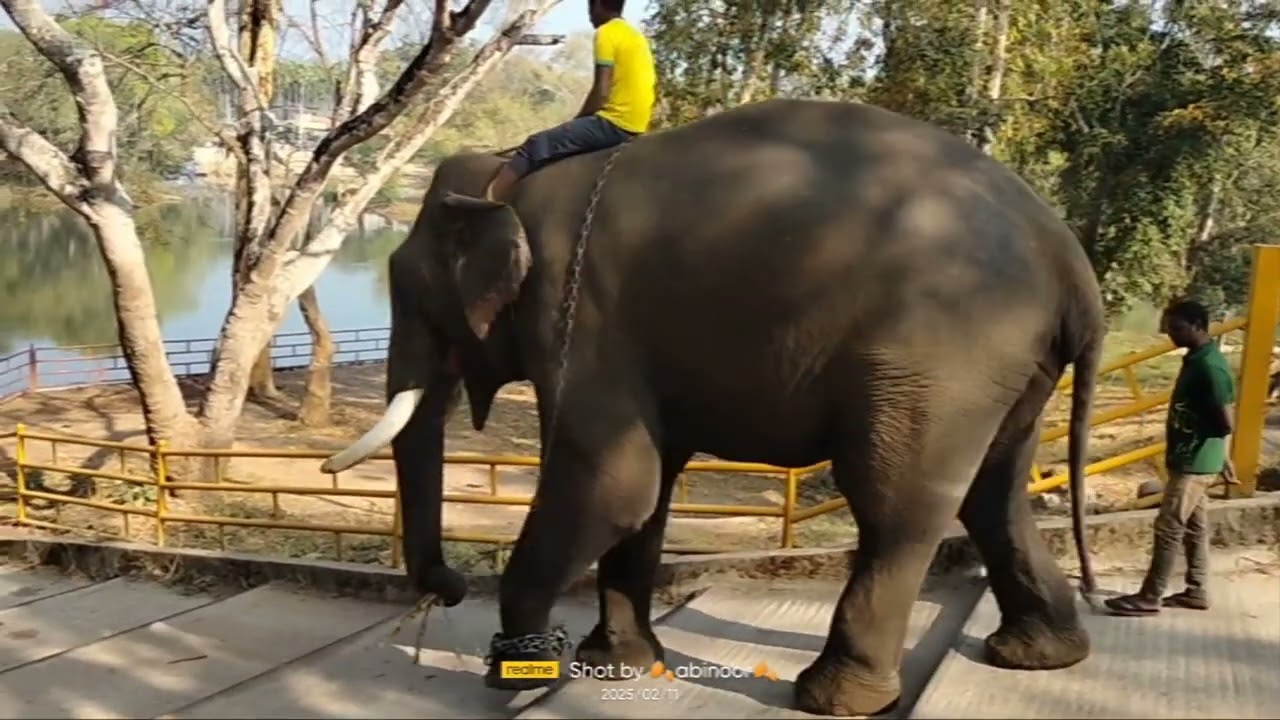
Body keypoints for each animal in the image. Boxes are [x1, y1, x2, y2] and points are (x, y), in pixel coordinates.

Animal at [320, 98, 1105, 717]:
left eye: (409, 287)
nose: (449, 590)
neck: (509, 172)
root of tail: (1067, 254)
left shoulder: (579, 314)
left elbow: (612, 487)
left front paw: (516, 673)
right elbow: (647, 492)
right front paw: (616, 665)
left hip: (938, 354)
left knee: (896, 506)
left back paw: (833, 698)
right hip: (1007, 367)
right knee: (996, 489)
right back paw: (1039, 655)